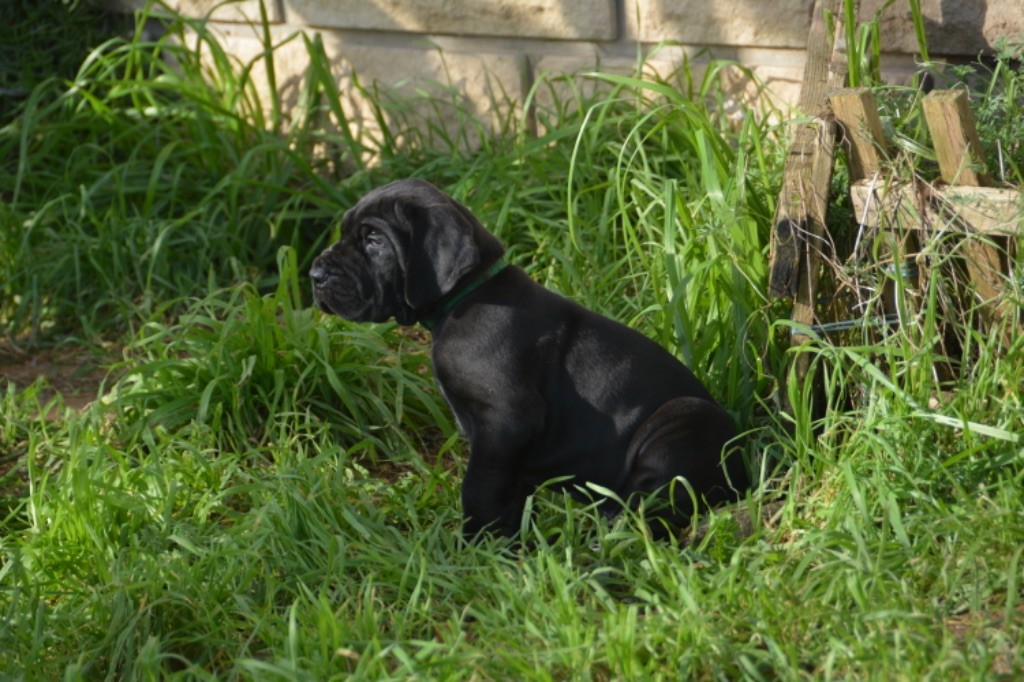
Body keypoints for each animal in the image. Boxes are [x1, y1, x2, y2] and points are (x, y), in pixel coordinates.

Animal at [310, 179, 748, 538]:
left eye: (373, 241)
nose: (315, 275)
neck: (468, 294)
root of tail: (744, 471)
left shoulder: (505, 419)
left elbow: (478, 486)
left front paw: (475, 541)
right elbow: (507, 489)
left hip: (683, 419)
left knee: (657, 502)